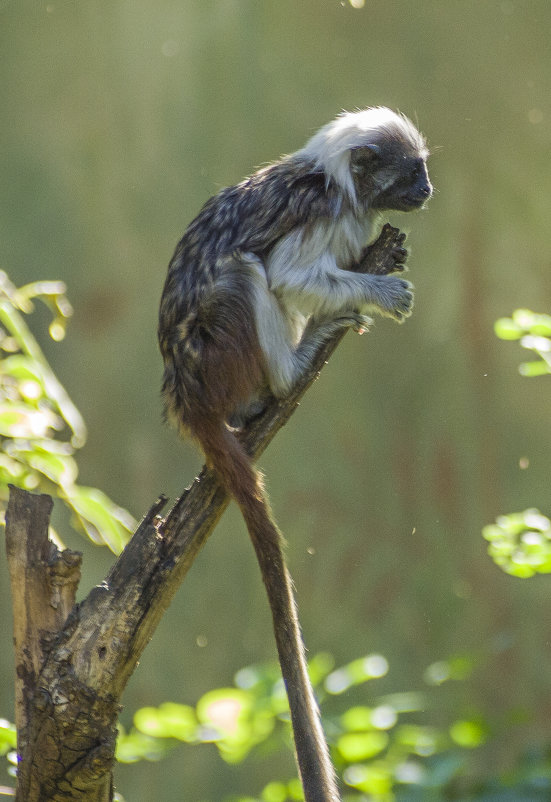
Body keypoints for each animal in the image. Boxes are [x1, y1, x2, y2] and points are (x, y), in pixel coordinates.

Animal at [157, 108, 434, 800]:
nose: (428, 190)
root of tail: (185, 393)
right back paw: (288, 375)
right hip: (220, 355)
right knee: (245, 272)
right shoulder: (319, 213)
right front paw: (381, 290)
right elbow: (285, 274)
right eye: (411, 172)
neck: (340, 187)